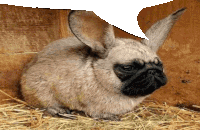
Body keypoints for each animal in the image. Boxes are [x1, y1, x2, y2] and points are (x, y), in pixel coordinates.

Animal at [20, 7, 186, 120]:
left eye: (160, 64)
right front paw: (110, 117)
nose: (153, 70)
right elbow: (96, 114)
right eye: (128, 68)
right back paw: (61, 111)